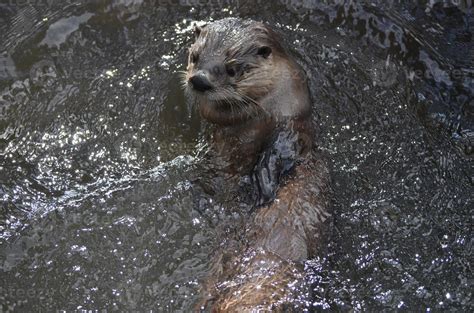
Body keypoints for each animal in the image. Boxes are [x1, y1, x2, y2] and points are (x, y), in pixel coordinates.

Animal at [181, 18, 330, 310]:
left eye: (232, 68)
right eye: (195, 56)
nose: (199, 80)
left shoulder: (292, 122)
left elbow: (282, 151)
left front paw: (265, 183)